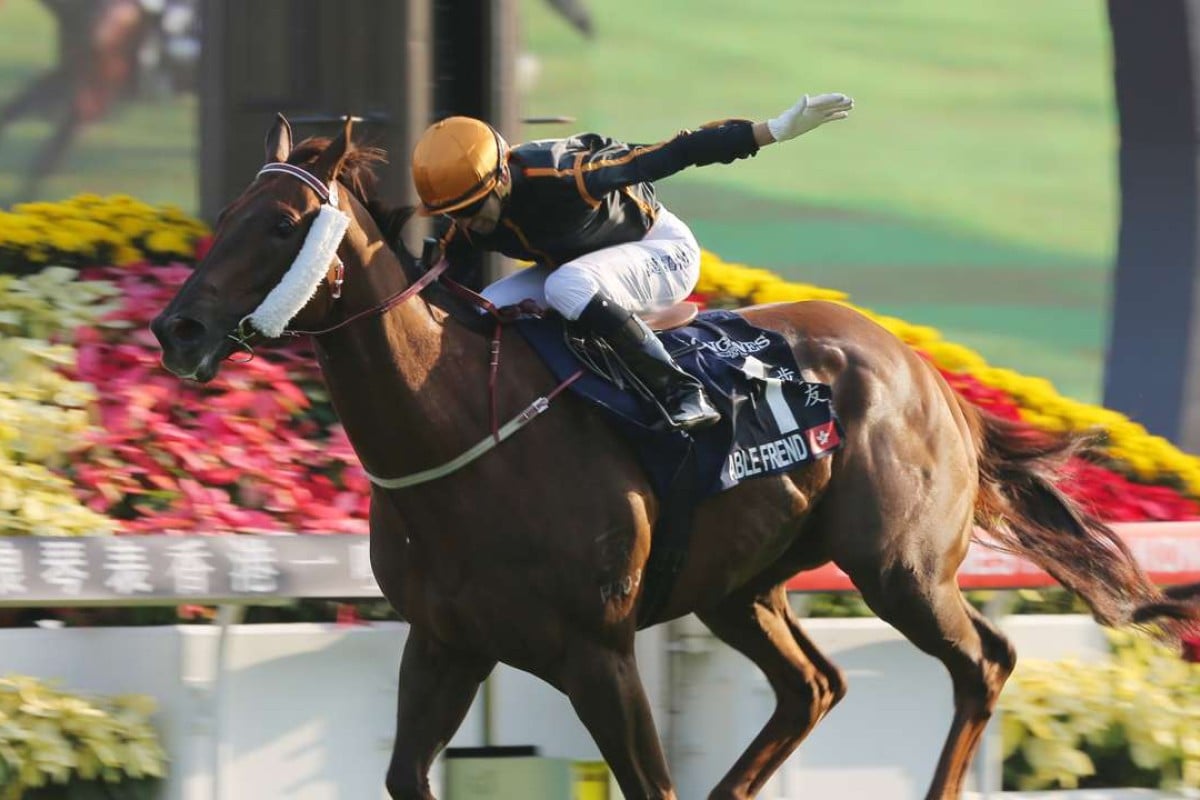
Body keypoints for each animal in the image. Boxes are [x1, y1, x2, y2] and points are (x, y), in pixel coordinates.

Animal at [152, 113, 1200, 800]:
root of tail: (925, 370)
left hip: (897, 567)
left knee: (982, 663)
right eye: (228, 213)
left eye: (283, 225)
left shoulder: (596, 650)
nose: (178, 328)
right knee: (813, 687)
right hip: (738, 585)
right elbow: (408, 776)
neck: (458, 436)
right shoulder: (446, 642)